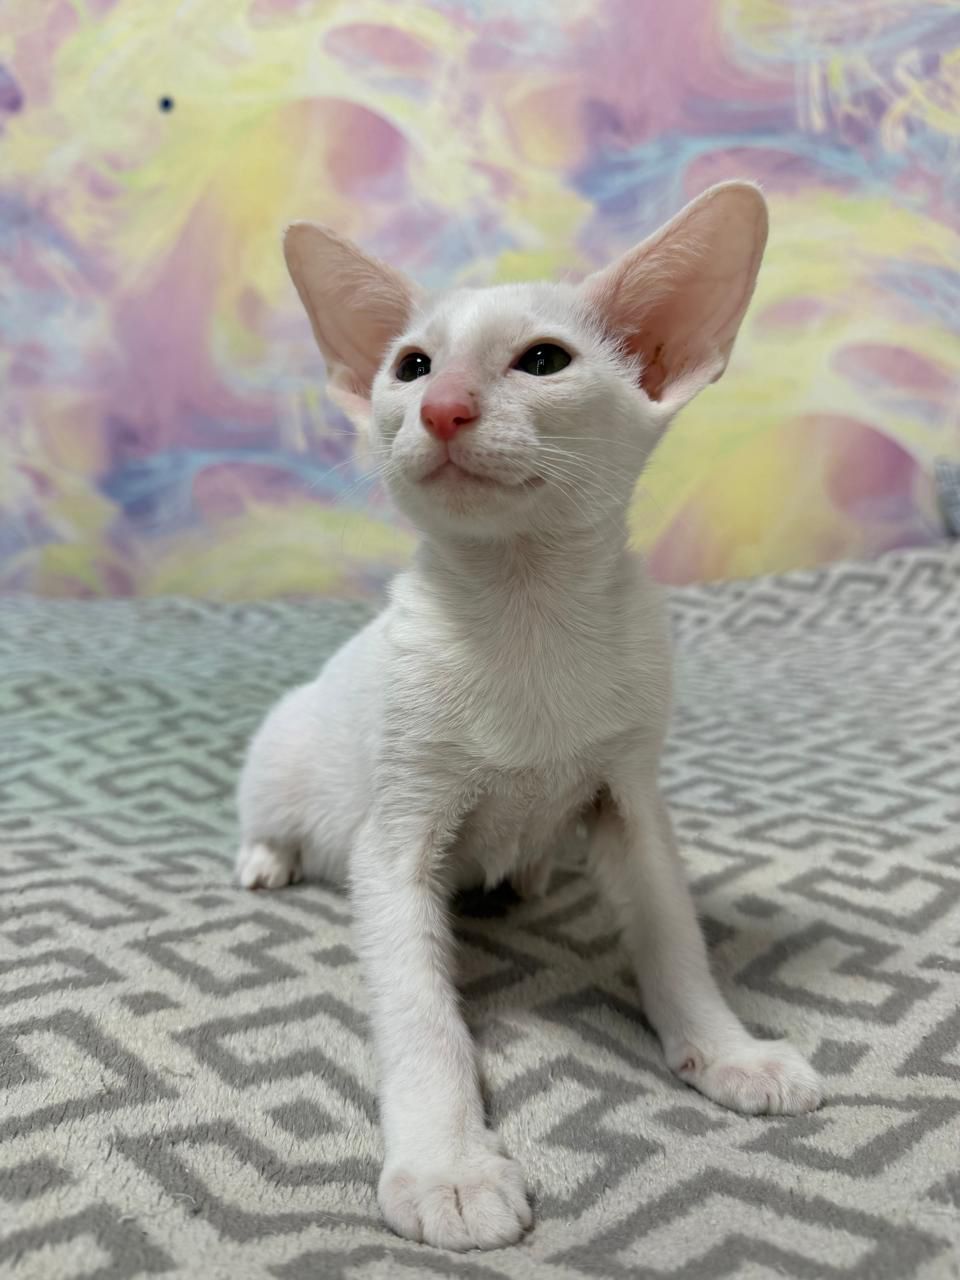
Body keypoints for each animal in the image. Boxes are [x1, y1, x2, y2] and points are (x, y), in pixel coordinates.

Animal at [235, 181, 822, 1252]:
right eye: (411, 365)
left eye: (543, 361)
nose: (442, 407)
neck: (524, 609)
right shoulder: (396, 840)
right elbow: (418, 1010)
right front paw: (447, 1167)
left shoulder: (632, 795)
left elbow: (673, 934)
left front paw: (726, 1049)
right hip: (284, 754)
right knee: (270, 816)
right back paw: (269, 857)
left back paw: (530, 872)